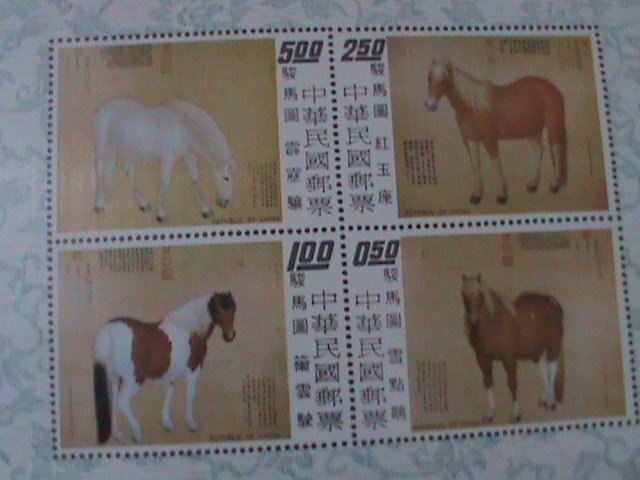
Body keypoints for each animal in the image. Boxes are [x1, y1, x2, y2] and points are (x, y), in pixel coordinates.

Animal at [93, 292, 237, 444]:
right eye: (218, 312)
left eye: (233, 310)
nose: (230, 335)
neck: (189, 329)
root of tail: (109, 330)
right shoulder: (194, 371)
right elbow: (190, 396)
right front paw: (191, 423)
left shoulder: (168, 376)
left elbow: (169, 394)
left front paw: (167, 423)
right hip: (134, 379)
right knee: (123, 401)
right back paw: (137, 432)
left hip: (115, 377)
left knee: (114, 402)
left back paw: (117, 433)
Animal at [94, 99, 238, 223]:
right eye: (226, 178)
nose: (224, 203)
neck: (183, 125)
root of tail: (104, 107)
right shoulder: (169, 158)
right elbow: (164, 183)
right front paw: (161, 214)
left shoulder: (189, 155)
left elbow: (196, 180)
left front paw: (206, 210)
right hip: (103, 148)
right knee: (100, 172)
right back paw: (98, 205)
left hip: (130, 151)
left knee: (130, 171)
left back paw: (142, 204)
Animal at [426, 61, 567, 205]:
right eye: (429, 79)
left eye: (443, 81)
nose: (430, 105)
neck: (473, 106)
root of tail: (552, 87)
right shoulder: (470, 140)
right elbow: (475, 164)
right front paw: (477, 195)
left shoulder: (489, 139)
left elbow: (495, 163)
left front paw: (501, 195)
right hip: (532, 131)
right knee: (538, 152)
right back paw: (533, 185)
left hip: (552, 126)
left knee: (556, 150)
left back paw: (554, 185)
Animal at [460, 275, 564, 423]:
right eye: (463, 293)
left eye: (480, 294)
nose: (472, 319)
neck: (494, 324)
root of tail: (551, 301)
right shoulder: (483, 358)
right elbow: (488, 382)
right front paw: (490, 413)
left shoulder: (508, 359)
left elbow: (512, 383)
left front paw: (515, 414)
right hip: (536, 349)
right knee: (544, 368)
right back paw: (545, 398)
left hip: (552, 346)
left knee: (552, 369)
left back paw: (550, 402)